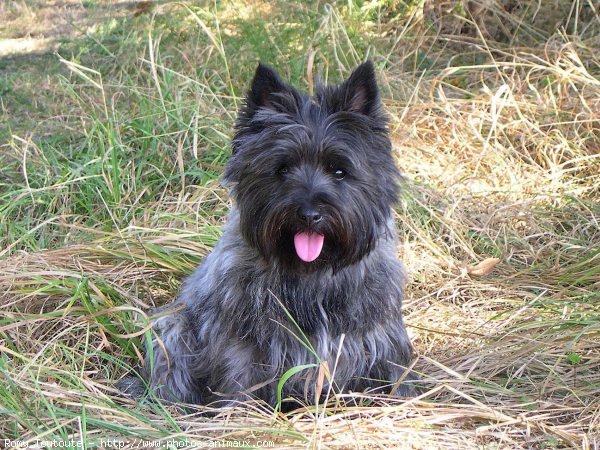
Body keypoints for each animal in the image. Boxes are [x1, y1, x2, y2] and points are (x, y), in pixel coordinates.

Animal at [120, 60, 412, 408]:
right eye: (282, 169)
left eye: (339, 170)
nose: (309, 214)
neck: (311, 275)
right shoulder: (241, 345)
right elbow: (239, 385)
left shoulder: (379, 341)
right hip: (173, 327)